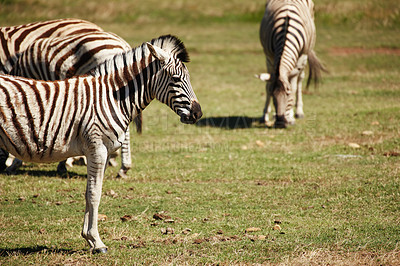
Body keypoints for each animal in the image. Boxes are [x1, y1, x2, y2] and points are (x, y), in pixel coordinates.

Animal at [0, 35, 202, 254]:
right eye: (176, 79)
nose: (198, 113)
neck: (110, 97)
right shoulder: (97, 149)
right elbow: (94, 193)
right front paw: (97, 242)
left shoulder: (103, 152)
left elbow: (91, 192)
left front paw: (89, 239)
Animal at [260, 0, 324, 128]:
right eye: (273, 97)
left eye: (289, 96)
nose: (280, 123)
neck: (286, 31)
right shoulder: (269, 57)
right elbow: (268, 86)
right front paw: (265, 115)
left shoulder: (300, 57)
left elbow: (294, 87)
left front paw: (290, 117)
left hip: (305, 56)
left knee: (299, 81)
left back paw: (298, 112)